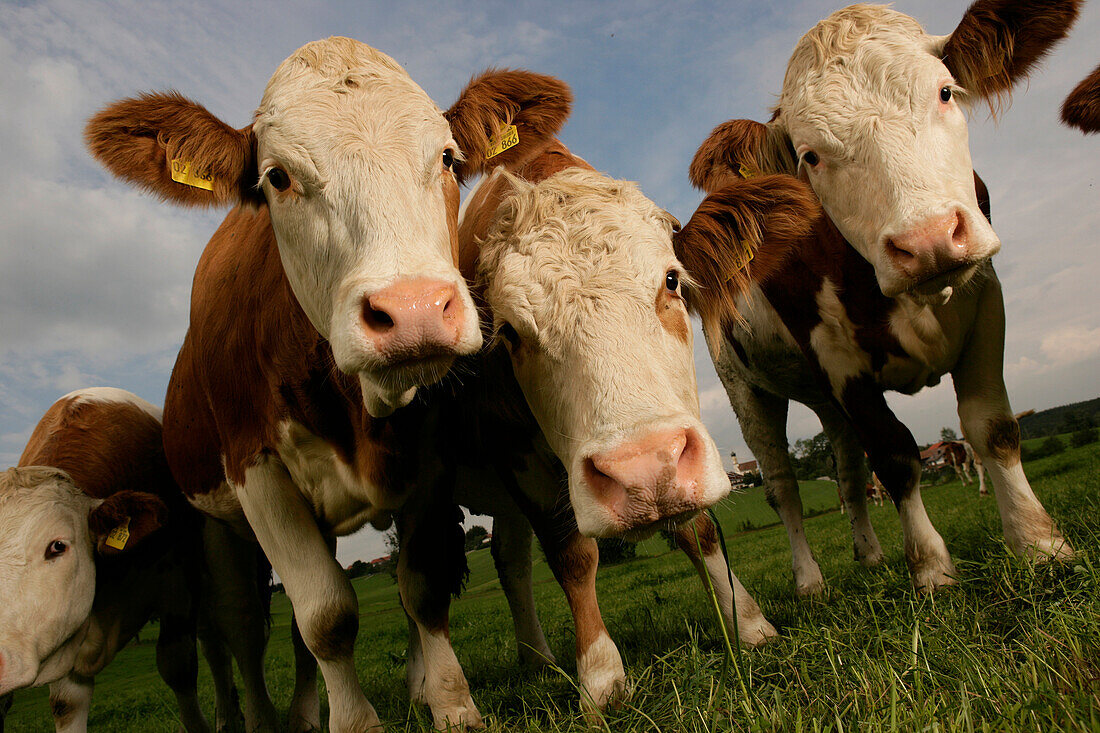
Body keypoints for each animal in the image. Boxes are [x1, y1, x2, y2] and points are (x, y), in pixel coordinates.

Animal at [86, 41, 576, 730]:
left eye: (448, 158)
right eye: (277, 177)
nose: (415, 309)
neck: (355, 411)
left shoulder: (427, 457)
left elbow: (422, 589)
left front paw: (452, 706)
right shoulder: (256, 474)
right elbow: (326, 617)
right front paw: (357, 721)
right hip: (216, 529)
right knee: (244, 629)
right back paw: (267, 719)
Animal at [673, 1, 1078, 594]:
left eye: (945, 92)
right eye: (810, 156)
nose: (928, 240)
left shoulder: (986, 305)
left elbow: (994, 428)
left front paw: (1039, 544)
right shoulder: (841, 363)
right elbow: (894, 454)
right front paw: (931, 569)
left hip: (822, 397)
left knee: (846, 469)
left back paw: (868, 555)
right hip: (746, 390)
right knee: (783, 486)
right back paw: (809, 581)